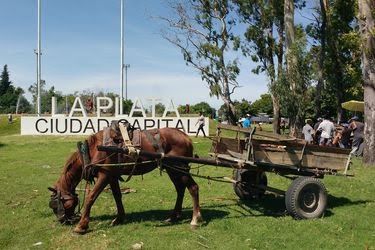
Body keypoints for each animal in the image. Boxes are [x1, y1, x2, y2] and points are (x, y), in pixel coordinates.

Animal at [50, 125, 204, 234]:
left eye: (56, 205)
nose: (62, 221)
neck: (94, 150)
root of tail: (185, 137)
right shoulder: (112, 176)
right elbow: (117, 196)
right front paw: (119, 218)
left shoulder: (104, 176)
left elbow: (91, 197)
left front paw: (81, 225)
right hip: (173, 169)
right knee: (180, 189)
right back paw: (174, 216)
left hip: (179, 167)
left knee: (193, 188)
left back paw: (195, 219)